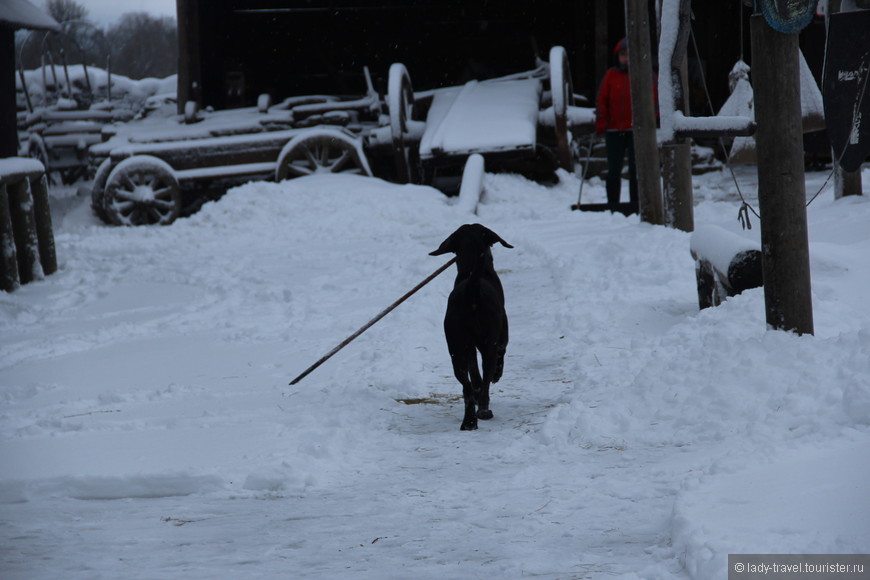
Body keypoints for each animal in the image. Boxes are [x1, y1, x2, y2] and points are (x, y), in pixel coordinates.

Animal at [432, 224, 516, 428]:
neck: (470, 270)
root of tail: (471, 291)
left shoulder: (468, 348)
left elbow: (474, 376)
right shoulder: (501, 338)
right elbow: (498, 359)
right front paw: (497, 375)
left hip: (456, 351)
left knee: (467, 387)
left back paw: (469, 421)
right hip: (489, 345)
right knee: (485, 380)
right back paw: (484, 411)